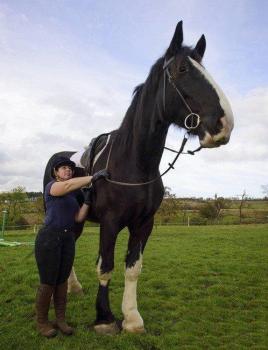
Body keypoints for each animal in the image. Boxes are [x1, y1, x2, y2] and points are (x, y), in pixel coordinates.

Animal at [43, 21, 232, 334]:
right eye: (182, 69)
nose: (224, 123)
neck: (134, 162)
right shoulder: (110, 223)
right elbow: (105, 267)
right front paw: (105, 318)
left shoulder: (144, 224)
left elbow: (133, 268)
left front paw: (131, 318)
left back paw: (73, 288)